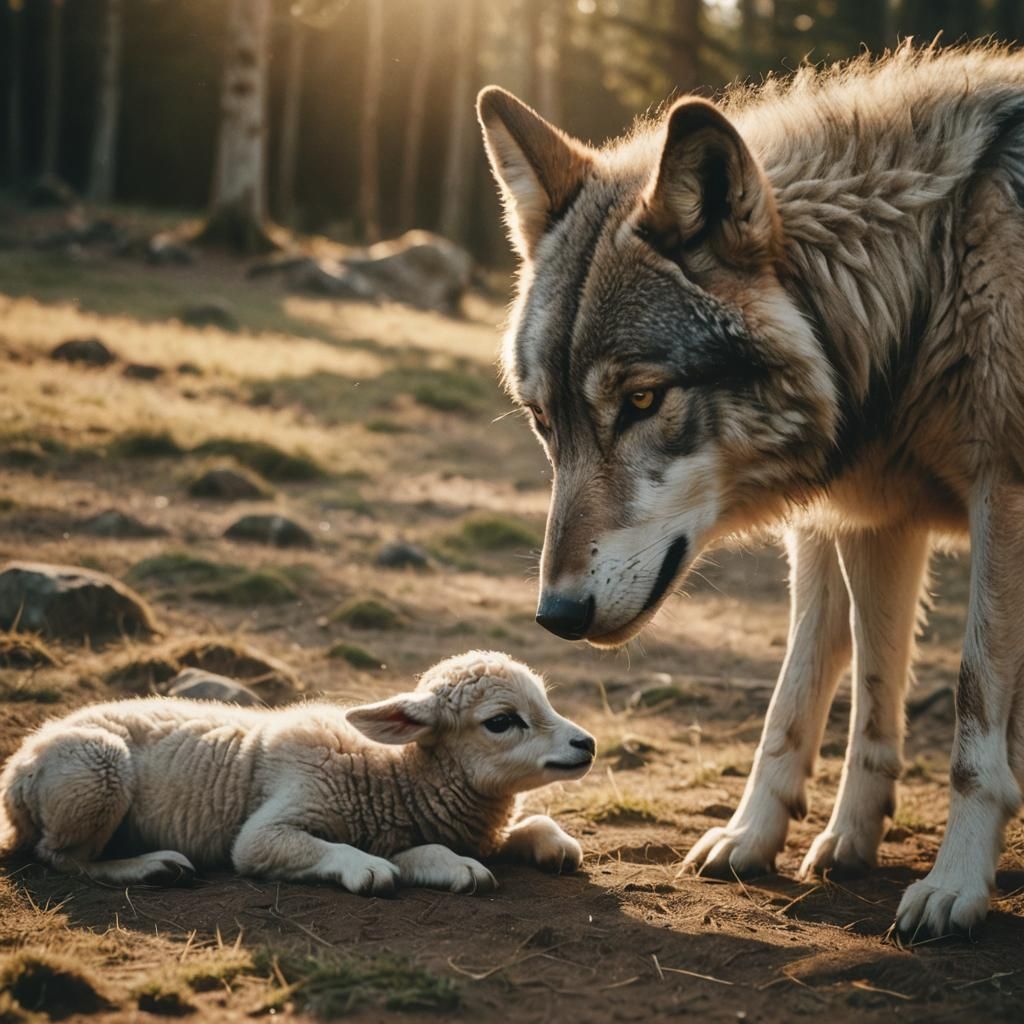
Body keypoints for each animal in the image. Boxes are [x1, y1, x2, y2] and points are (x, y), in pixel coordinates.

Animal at [0, 651, 595, 895]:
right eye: (501, 721)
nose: (586, 744)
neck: (398, 775)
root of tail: (20, 763)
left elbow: (525, 828)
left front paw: (553, 845)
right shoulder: (272, 827)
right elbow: (331, 851)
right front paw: (371, 870)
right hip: (96, 771)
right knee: (61, 857)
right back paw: (152, 868)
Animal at [477, 44, 1024, 939]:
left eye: (641, 400)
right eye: (543, 420)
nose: (556, 615)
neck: (927, 282)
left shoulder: (998, 498)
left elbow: (975, 707)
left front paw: (955, 882)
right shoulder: (863, 517)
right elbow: (826, 690)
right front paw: (774, 837)